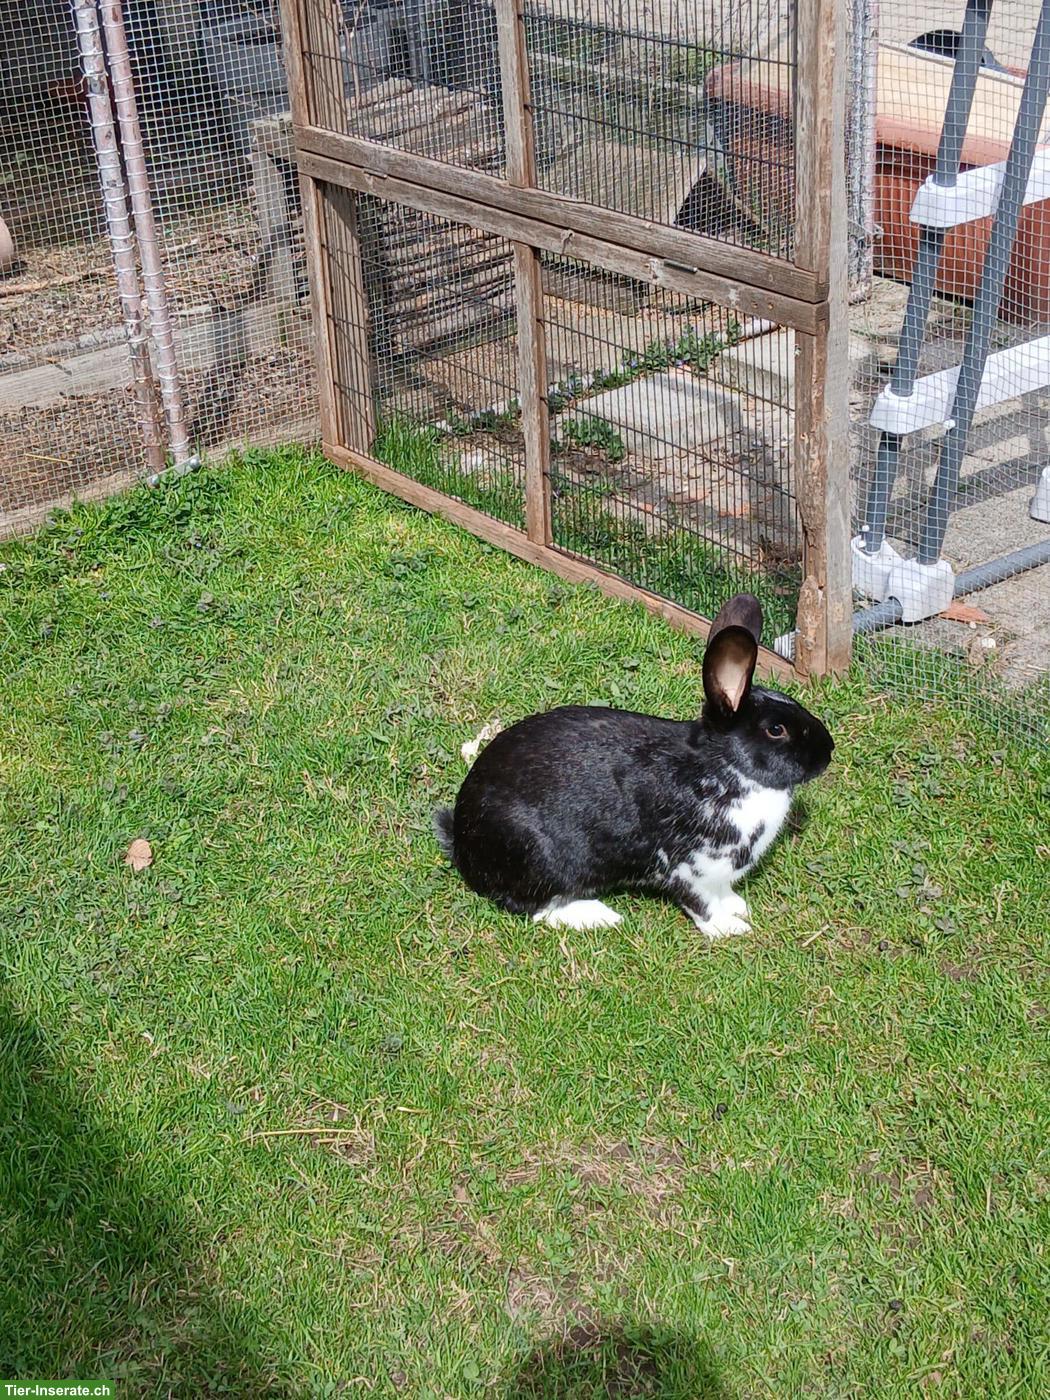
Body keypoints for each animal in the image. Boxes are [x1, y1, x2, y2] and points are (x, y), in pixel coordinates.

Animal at [434, 594, 833, 937]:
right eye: (776, 730)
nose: (828, 752)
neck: (722, 769)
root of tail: (463, 842)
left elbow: (723, 895)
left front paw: (738, 907)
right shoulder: (688, 868)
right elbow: (700, 904)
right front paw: (729, 929)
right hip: (538, 857)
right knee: (531, 906)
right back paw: (598, 916)